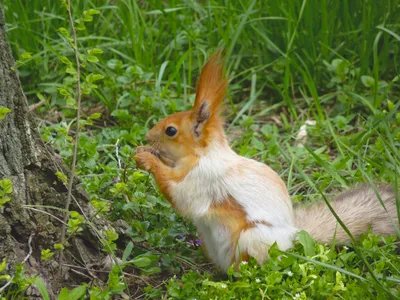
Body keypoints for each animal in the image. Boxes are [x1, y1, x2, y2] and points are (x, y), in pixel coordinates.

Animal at [135, 51, 400, 272]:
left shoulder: (203, 179)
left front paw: (147, 158)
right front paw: (144, 151)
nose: (147, 136)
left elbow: (181, 196)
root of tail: (293, 238)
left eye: (170, 130)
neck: (202, 155)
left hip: (253, 239)